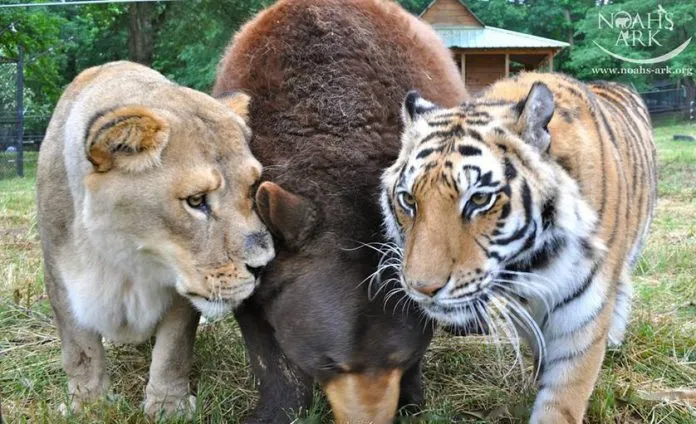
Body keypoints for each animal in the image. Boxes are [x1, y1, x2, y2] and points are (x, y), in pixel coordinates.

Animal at [378, 71, 656, 422]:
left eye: (479, 199)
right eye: (408, 200)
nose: (422, 289)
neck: (531, 265)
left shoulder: (581, 319)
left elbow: (562, 400)